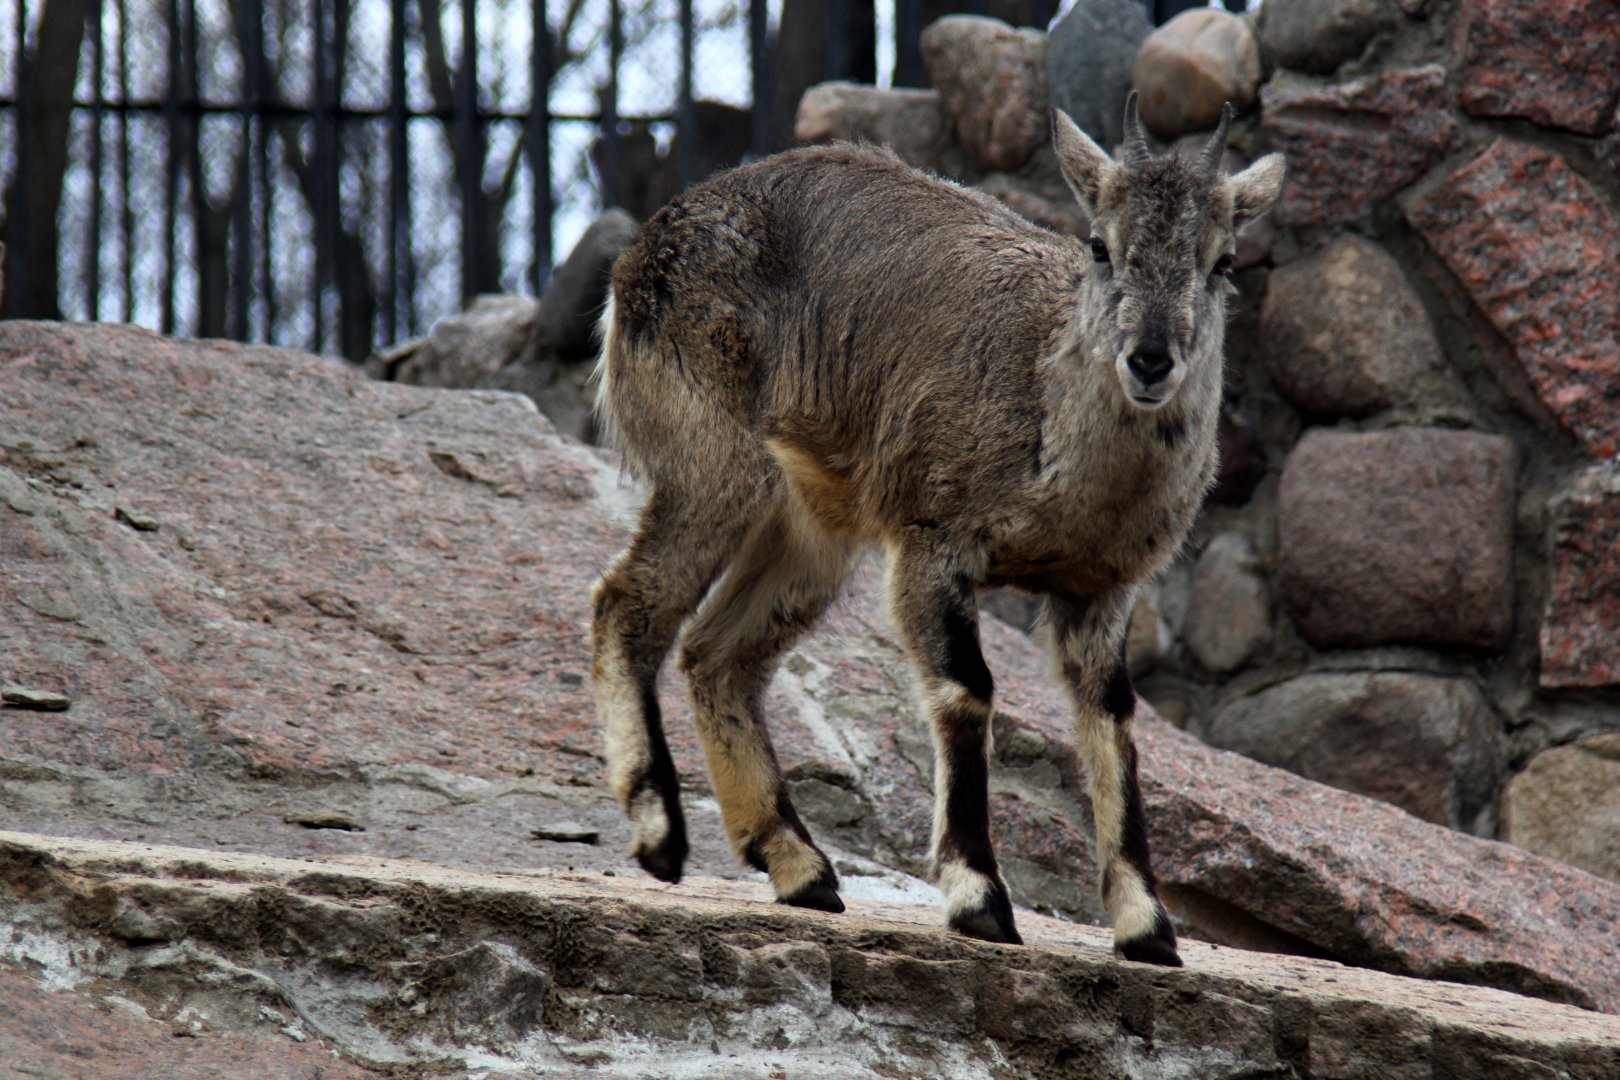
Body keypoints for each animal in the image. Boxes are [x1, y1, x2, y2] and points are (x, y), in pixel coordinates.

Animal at [589, 96, 1285, 966]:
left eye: (1223, 261)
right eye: (1100, 244)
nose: (1151, 360)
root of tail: (638, 255)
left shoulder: (1103, 588)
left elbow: (1112, 717)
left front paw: (1147, 925)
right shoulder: (934, 539)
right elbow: (965, 687)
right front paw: (980, 897)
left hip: (812, 531)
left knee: (719, 653)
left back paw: (801, 867)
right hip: (712, 459)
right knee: (630, 601)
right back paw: (660, 833)